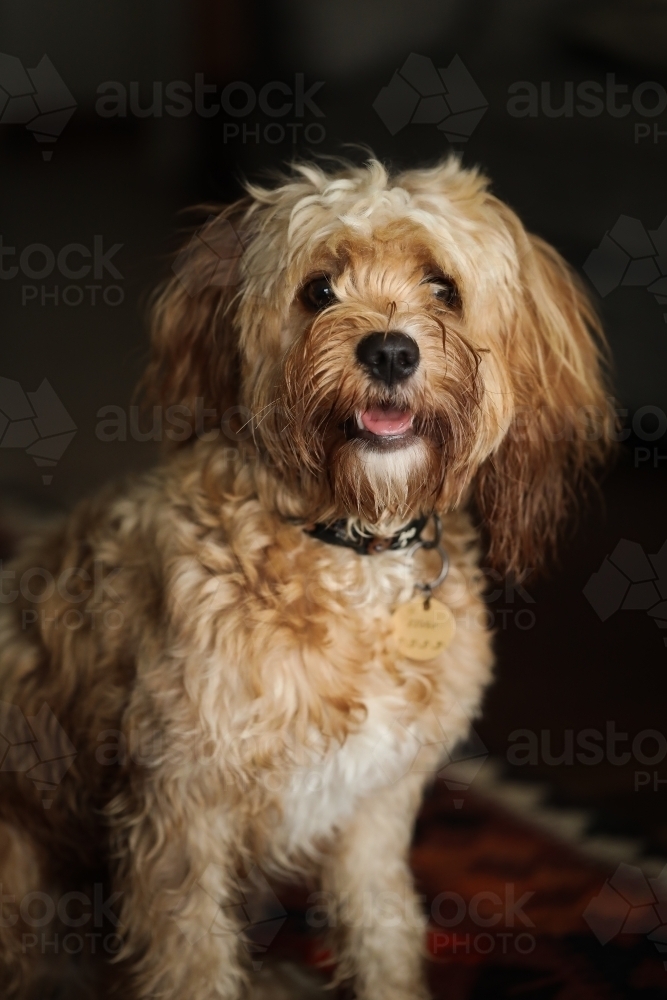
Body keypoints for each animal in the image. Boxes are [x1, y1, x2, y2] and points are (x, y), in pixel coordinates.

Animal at [0, 152, 612, 996]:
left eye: (442, 287)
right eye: (318, 290)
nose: (389, 352)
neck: (351, 547)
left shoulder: (376, 807)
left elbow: (382, 928)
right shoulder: (178, 815)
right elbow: (190, 962)